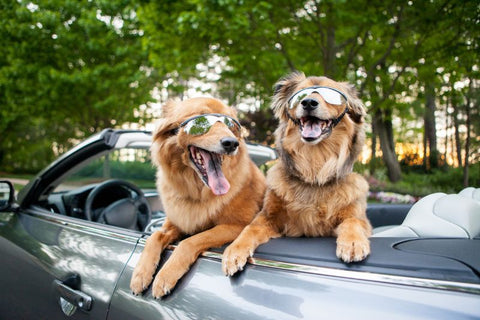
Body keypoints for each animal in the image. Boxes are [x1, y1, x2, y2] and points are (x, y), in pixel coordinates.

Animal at [130, 97, 266, 298]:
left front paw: (165, 275)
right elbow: (154, 236)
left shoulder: (236, 225)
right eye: (200, 121)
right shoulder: (177, 222)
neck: (197, 191)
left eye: (231, 125)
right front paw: (140, 274)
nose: (232, 143)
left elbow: (189, 241)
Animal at [223, 72, 374, 276]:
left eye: (330, 94)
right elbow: (249, 229)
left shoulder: (359, 217)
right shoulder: (268, 217)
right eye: (300, 95)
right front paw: (234, 251)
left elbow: (353, 222)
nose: (308, 102)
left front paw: (353, 243)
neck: (314, 172)